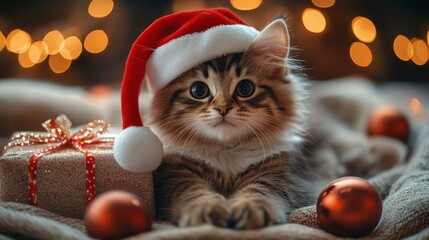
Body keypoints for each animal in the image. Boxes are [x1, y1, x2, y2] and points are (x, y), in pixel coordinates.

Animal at [149, 15, 316, 230]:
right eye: (198, 90)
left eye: (245, 88)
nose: (223, 108)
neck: (227, 151)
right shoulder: (175, 174)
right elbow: (192, 190)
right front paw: (205, 208)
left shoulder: (282, 174)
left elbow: (261, 188)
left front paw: (251, 207)